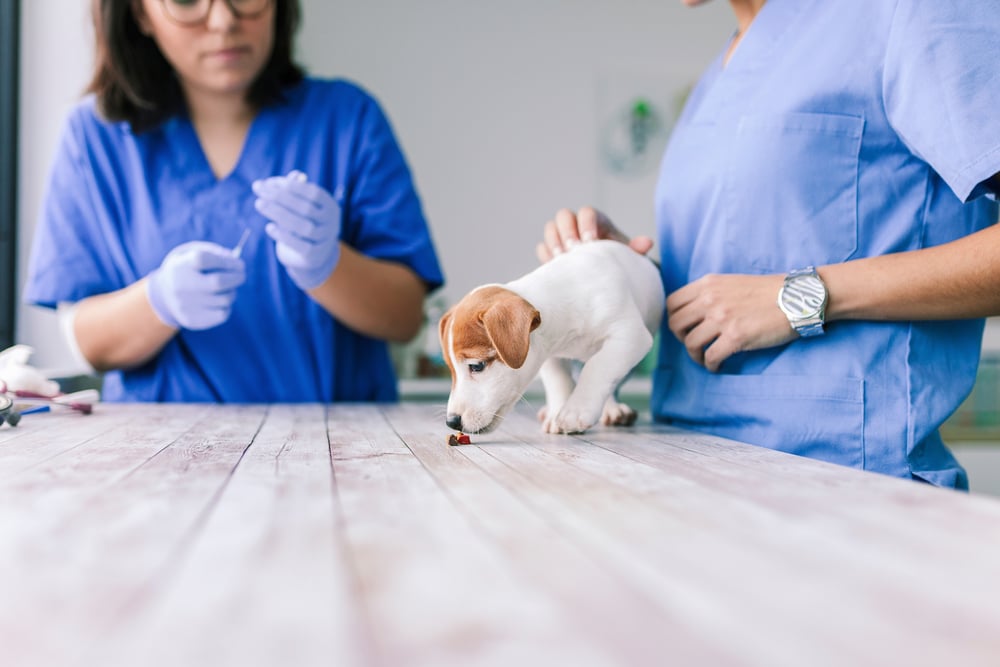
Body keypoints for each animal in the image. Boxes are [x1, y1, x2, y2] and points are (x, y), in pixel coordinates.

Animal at [438, 239, 664, 434]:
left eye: (476, 366)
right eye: (451, 369)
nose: (451, 422)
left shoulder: (629, 335)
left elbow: (597, 368)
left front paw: (575, 410)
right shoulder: (549, 354)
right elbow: (559, 380)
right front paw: (557, 412)